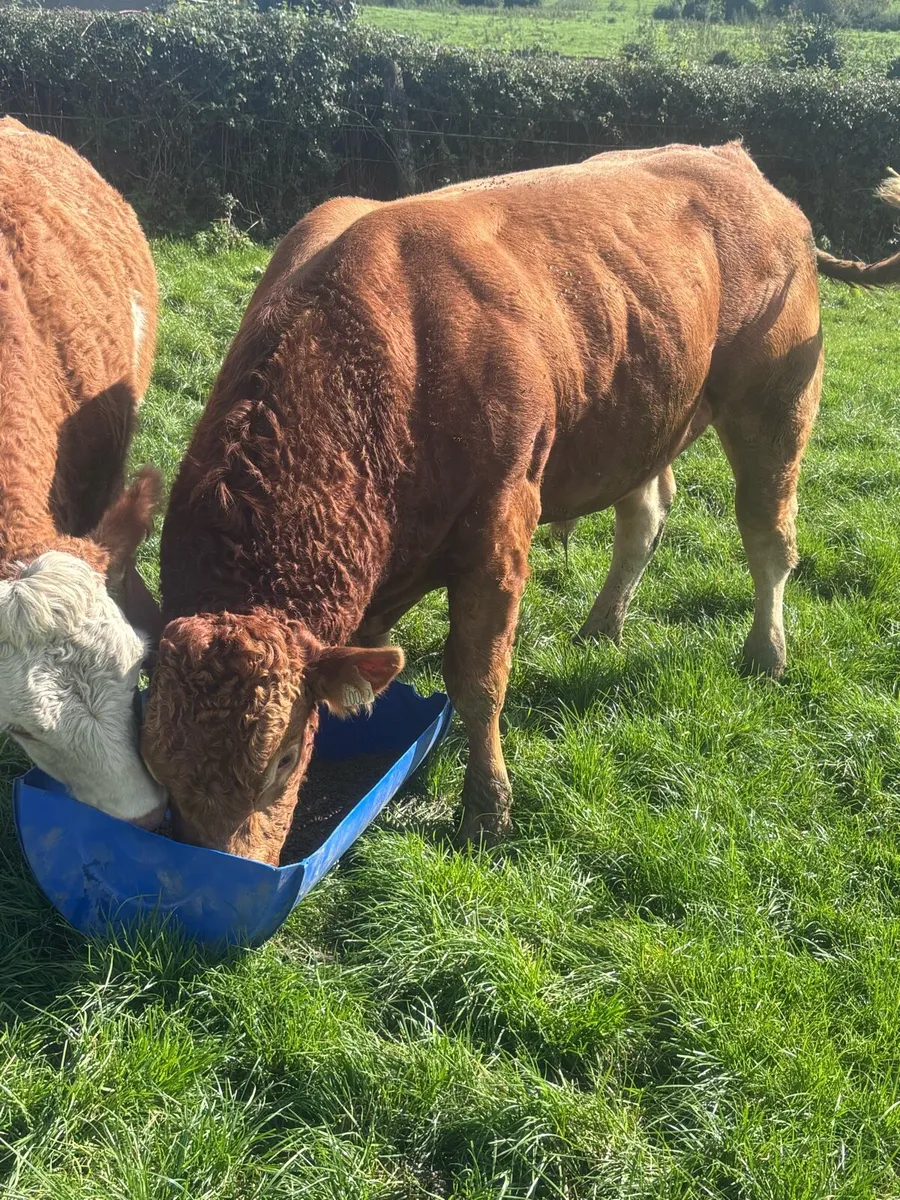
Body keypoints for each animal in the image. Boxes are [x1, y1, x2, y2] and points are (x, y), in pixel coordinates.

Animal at [142, 141, 882, 863]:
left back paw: (766, 653)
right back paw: (602, 626)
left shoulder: (500, 524)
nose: (215, 872)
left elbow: (477, 678)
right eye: (156, 766)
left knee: (768, 536)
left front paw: (487, 809)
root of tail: (736, 161)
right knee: (645, 517)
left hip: (777, 402)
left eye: (285, 757)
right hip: (640, 413)